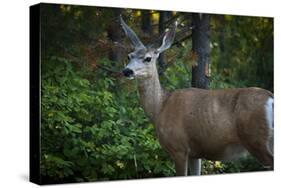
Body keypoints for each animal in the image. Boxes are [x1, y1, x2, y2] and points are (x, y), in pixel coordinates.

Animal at [119, 16, 272, 176]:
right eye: (129, 56)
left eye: (148, 58)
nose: (127, 71)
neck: (160, 107)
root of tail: (271, 99)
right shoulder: (195, 153)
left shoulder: (178, 147)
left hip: (256, 140)